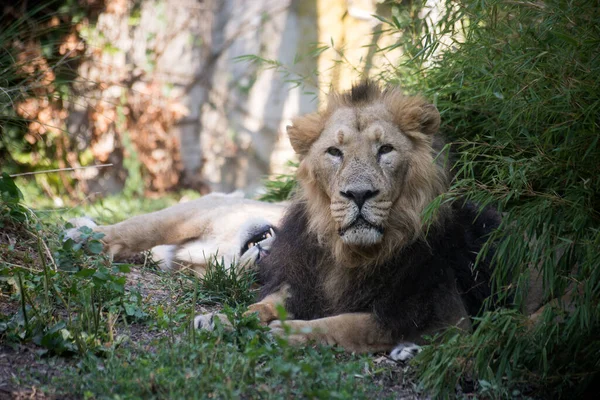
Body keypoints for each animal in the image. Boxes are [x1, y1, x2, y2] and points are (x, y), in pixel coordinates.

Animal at [195, 81, 504, 360]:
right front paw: (219, 319)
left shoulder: (445, 316)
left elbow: (350, 323)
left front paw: (287, 330)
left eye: (385, 149)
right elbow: (262, 305)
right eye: (334, 152)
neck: (350, 255)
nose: (358, 194)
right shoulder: (302, 281)